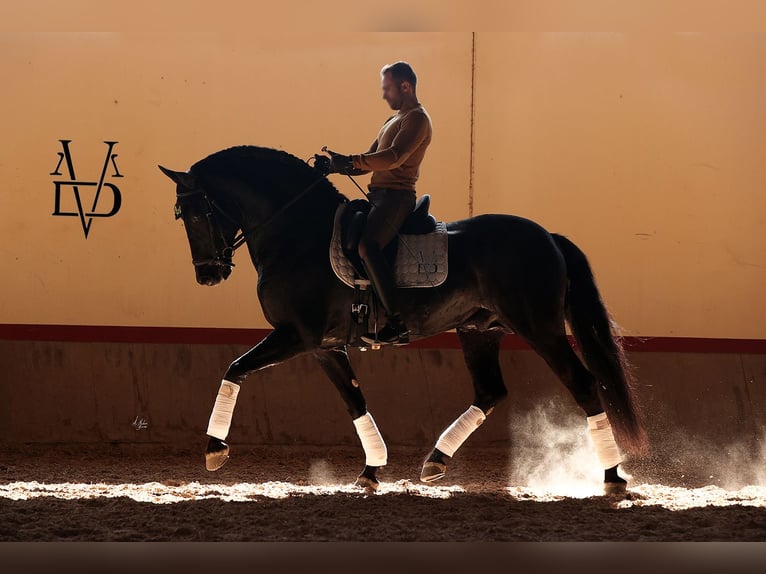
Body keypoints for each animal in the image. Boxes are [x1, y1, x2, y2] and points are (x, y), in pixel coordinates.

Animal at [160, 144, 648, 496]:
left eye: (196, 212)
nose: (208, 274)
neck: (296, 234)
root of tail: (547, 235)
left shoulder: (296, 335)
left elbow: (235, 368)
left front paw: (214, 449)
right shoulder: (324, 346)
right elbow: (355, 401)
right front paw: (372, 470)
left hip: (539, 328)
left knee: (583, 384)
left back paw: (611, 478)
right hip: (478, 330)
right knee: (490, 391)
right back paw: (435, 462)